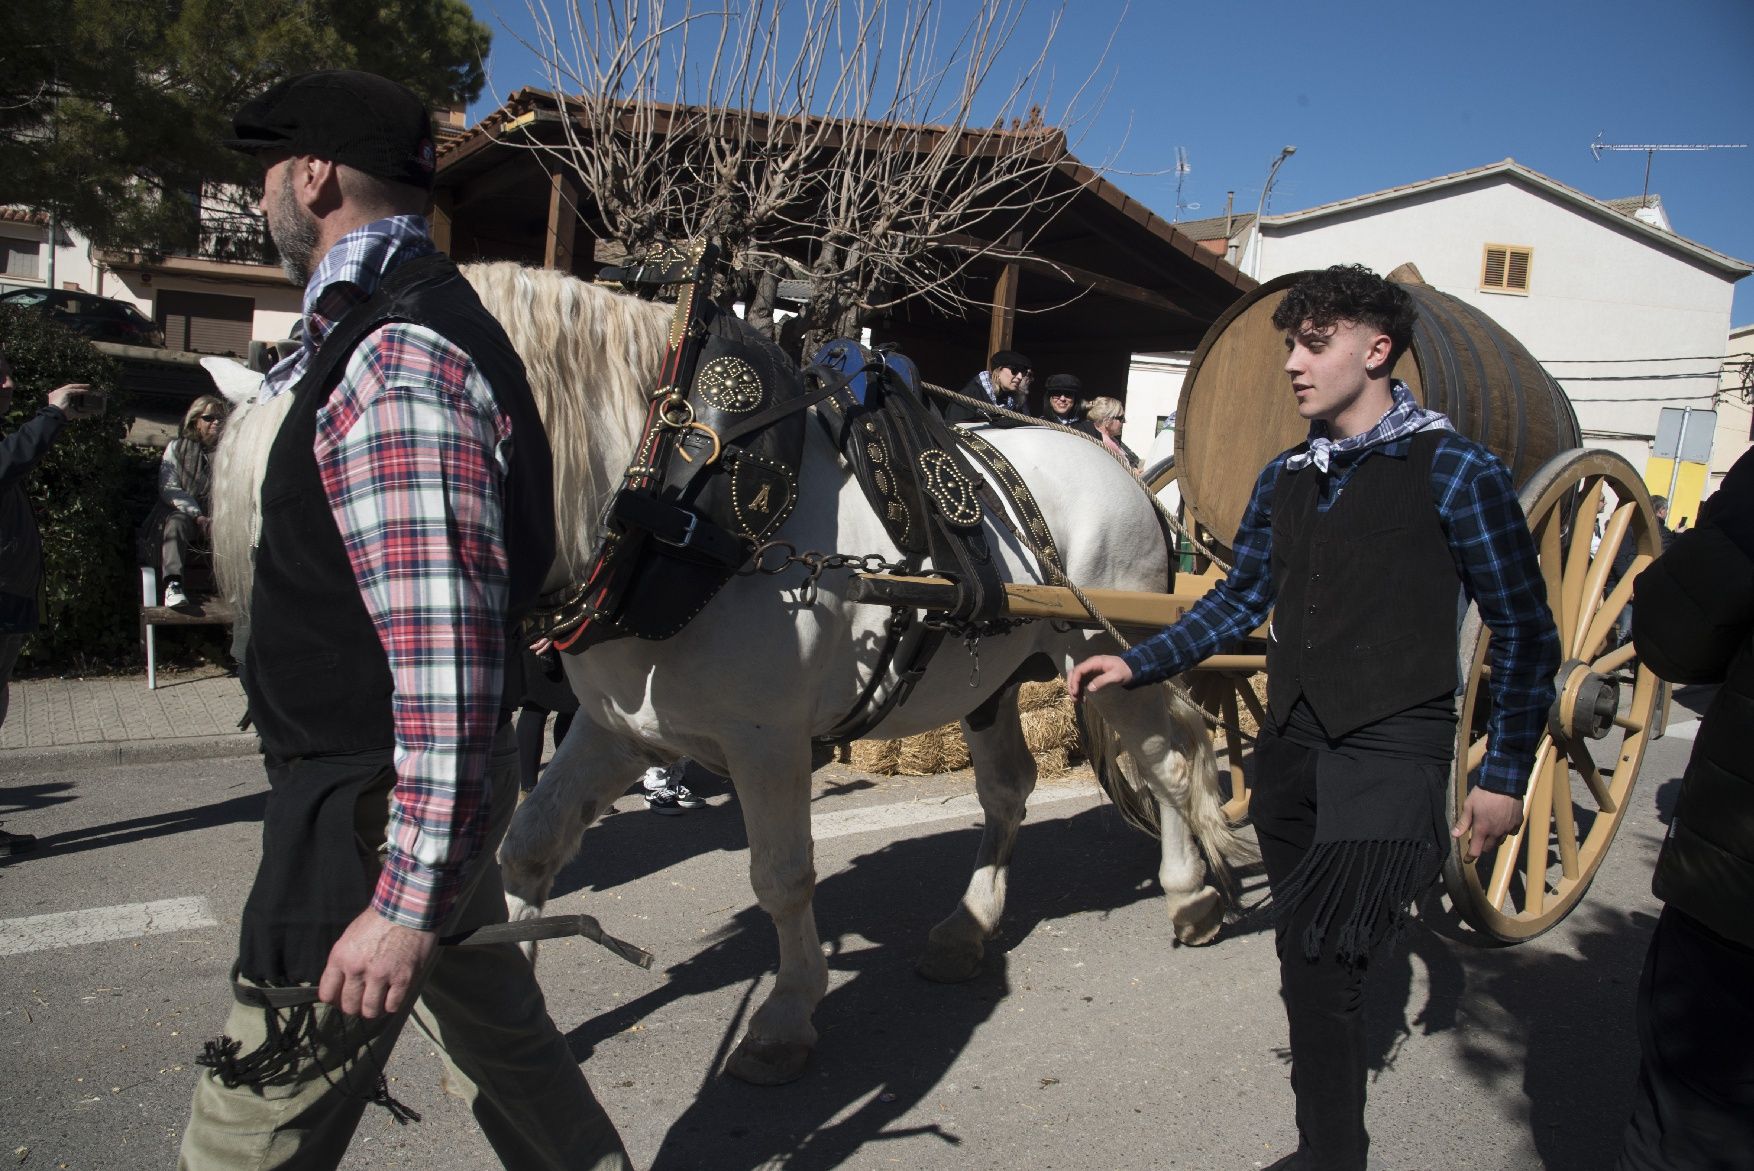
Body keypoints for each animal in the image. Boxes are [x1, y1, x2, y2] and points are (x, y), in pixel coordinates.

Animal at [212, 262, 1255, 1086]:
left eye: (326, 487)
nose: (277, 706)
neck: (677, 503)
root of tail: (1126, 476)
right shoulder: (618, 728)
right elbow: (531, 847)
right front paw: (521, 1008)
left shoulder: (766, 743)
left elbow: (782, 876)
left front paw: (787, 1015)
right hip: (998, 676)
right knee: (1009, 789)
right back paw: (969, 925)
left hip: (1105, 653)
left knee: (1168, 757)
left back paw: (1190, 889)